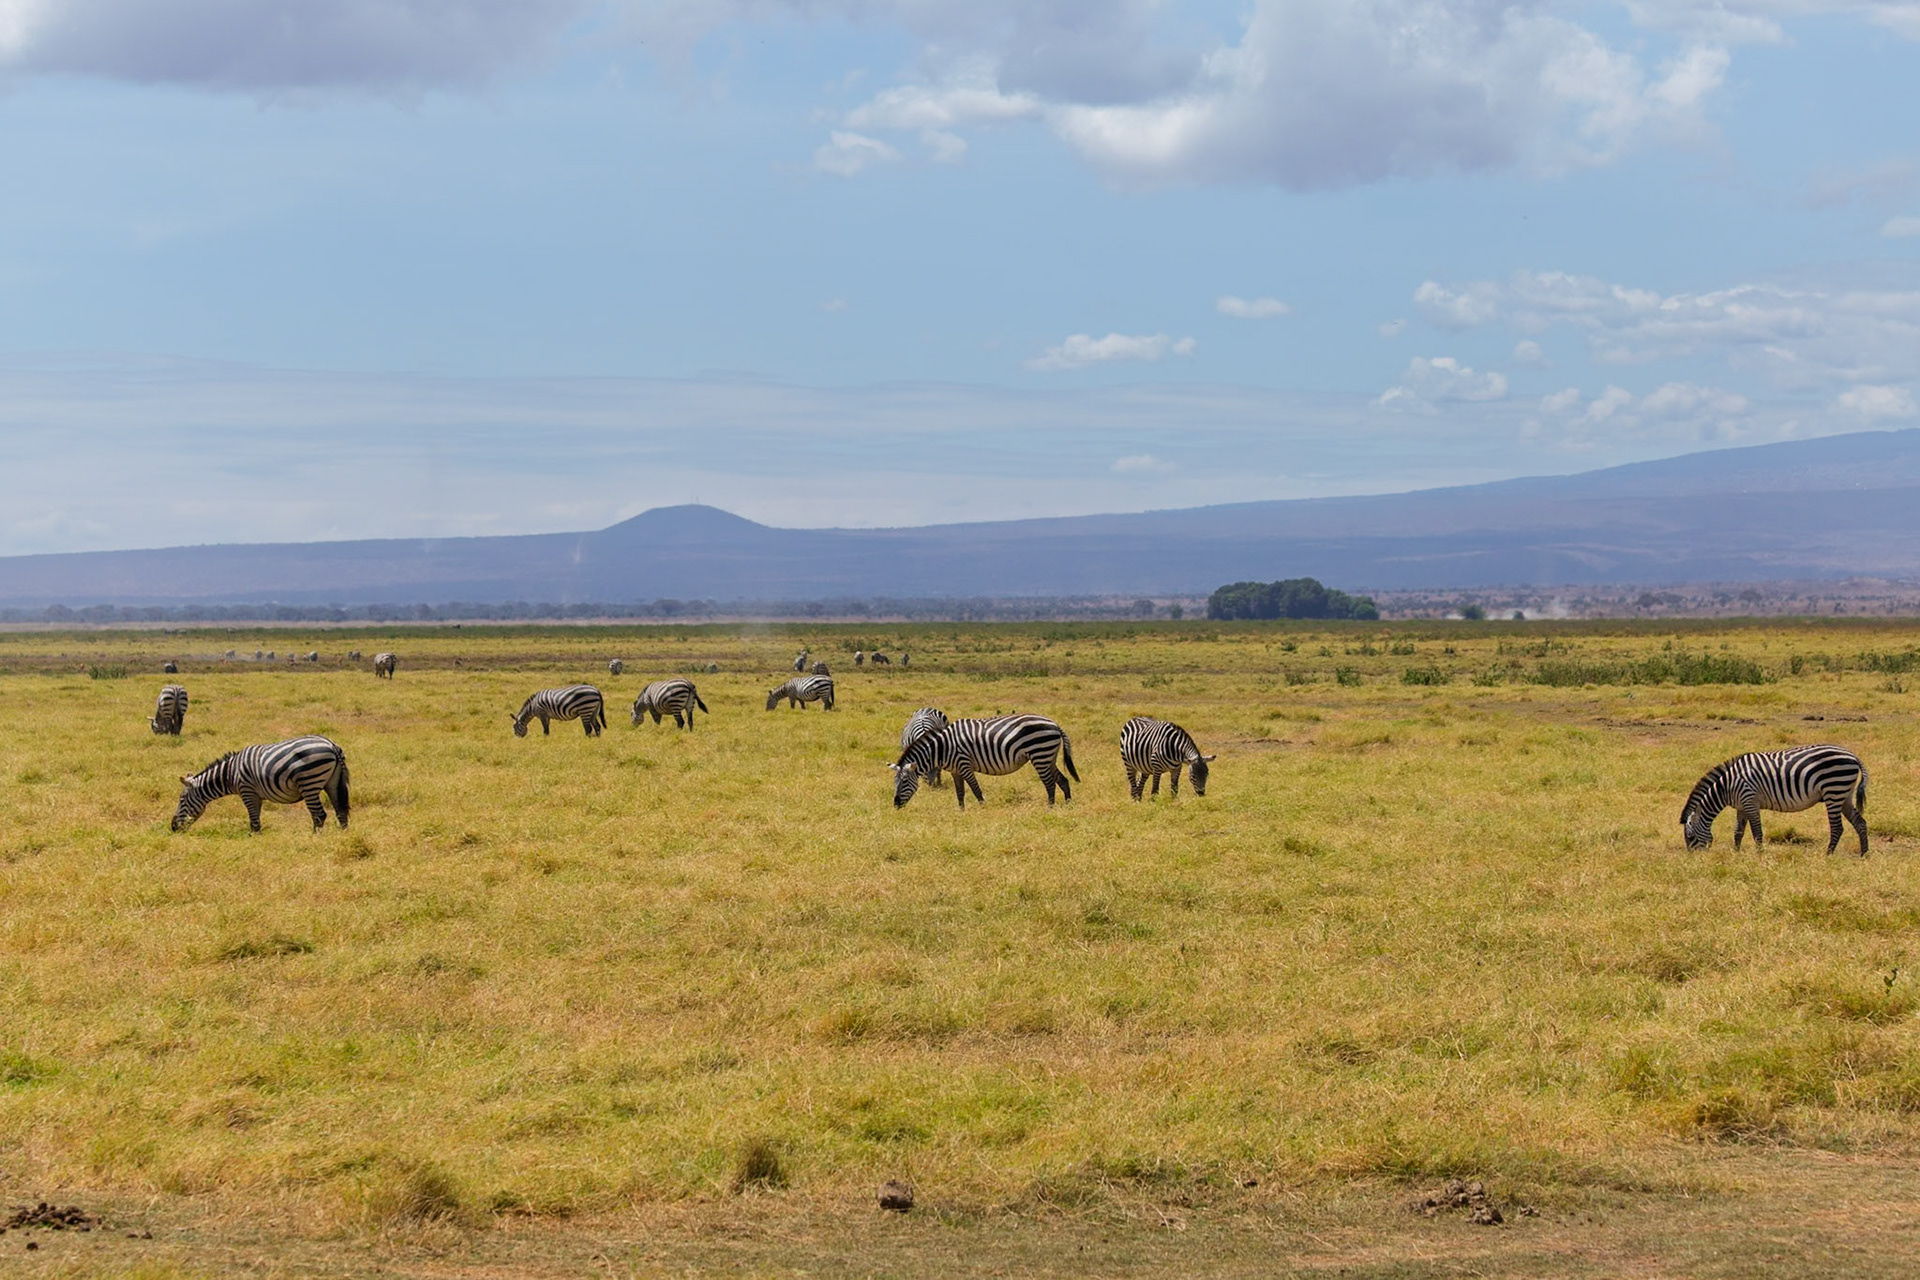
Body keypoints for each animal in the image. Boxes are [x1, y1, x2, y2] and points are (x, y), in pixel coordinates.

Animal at [171, 735, 349, 833]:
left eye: (181, 800)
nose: (172, 827)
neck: (230, 774)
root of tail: (332, 745)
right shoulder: (257, 796)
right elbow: (256, 819)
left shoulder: (247, 792)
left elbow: (254, 822)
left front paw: (254, 841)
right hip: (333, 783)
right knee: (341, 811)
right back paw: (342, 837)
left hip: (309, 783)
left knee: (319, 814)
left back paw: (314, 838)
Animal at [892, 714, 1079, 809]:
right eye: (895, 783)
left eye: (904, 781)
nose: (895, 804)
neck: (942, 748)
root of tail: (1054, 724)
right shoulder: (955, 770)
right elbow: (960, 792)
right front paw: (961, 811)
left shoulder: (964, 765)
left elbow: (975, 789)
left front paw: (982, 808)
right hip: (1048, 757)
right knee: (1063, 780)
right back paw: (1068, 804)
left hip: (1040, 754)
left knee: (1049, 783)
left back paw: (1050, 807)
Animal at [1682, 744, 1868, 856]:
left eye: (1690, 837)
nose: (1694, 860)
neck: (1727, 786)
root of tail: (1853, 755)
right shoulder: (1741, 807)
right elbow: (1738, 832)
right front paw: (1736, 853)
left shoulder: (1750, 801)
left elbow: (1757, 832)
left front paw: (1759, 854)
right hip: (1843, 794)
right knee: (1860, 822)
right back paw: (1864, 854)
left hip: (1834, 790)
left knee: (1837, 827)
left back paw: (1828, 854)